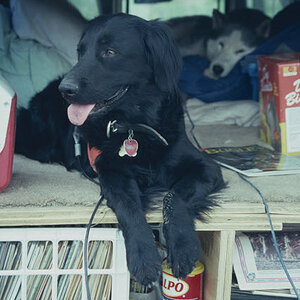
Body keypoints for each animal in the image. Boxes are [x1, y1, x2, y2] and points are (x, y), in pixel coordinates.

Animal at [15, 14, 223, 284]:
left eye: (110, 52)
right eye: (81, 52)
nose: (66, 90)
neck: (135, 126)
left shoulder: (206, 167)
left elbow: (174, 196)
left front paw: (184, 247)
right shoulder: (110, 171)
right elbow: (129, 206)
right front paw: (143, 258)